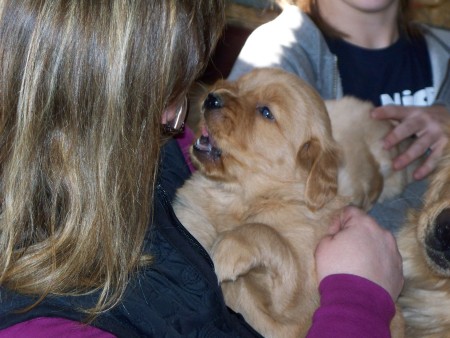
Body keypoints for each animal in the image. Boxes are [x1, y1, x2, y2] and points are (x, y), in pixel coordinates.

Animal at [173, 67, 404, 336]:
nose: (211, 98)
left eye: (265, 112)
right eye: (237, 86)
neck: (242, 197)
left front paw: (228, 249)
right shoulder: (193, 215)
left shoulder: (295, 297)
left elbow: (268, 235)